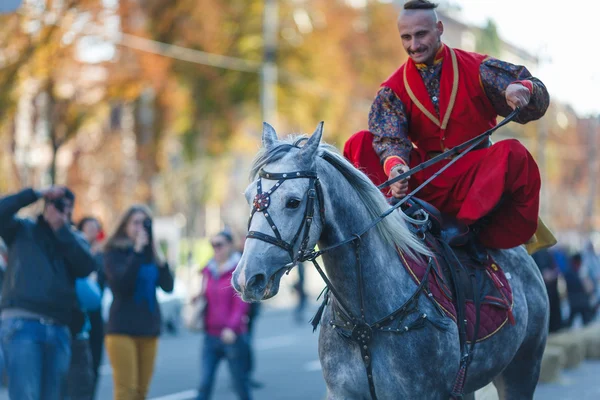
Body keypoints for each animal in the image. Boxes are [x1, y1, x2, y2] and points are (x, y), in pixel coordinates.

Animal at [233, 123, 548, 398]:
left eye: (293, 202)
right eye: (248, 197)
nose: (246, 278)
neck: (365, 321)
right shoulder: (342, 393)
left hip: (523, 369)